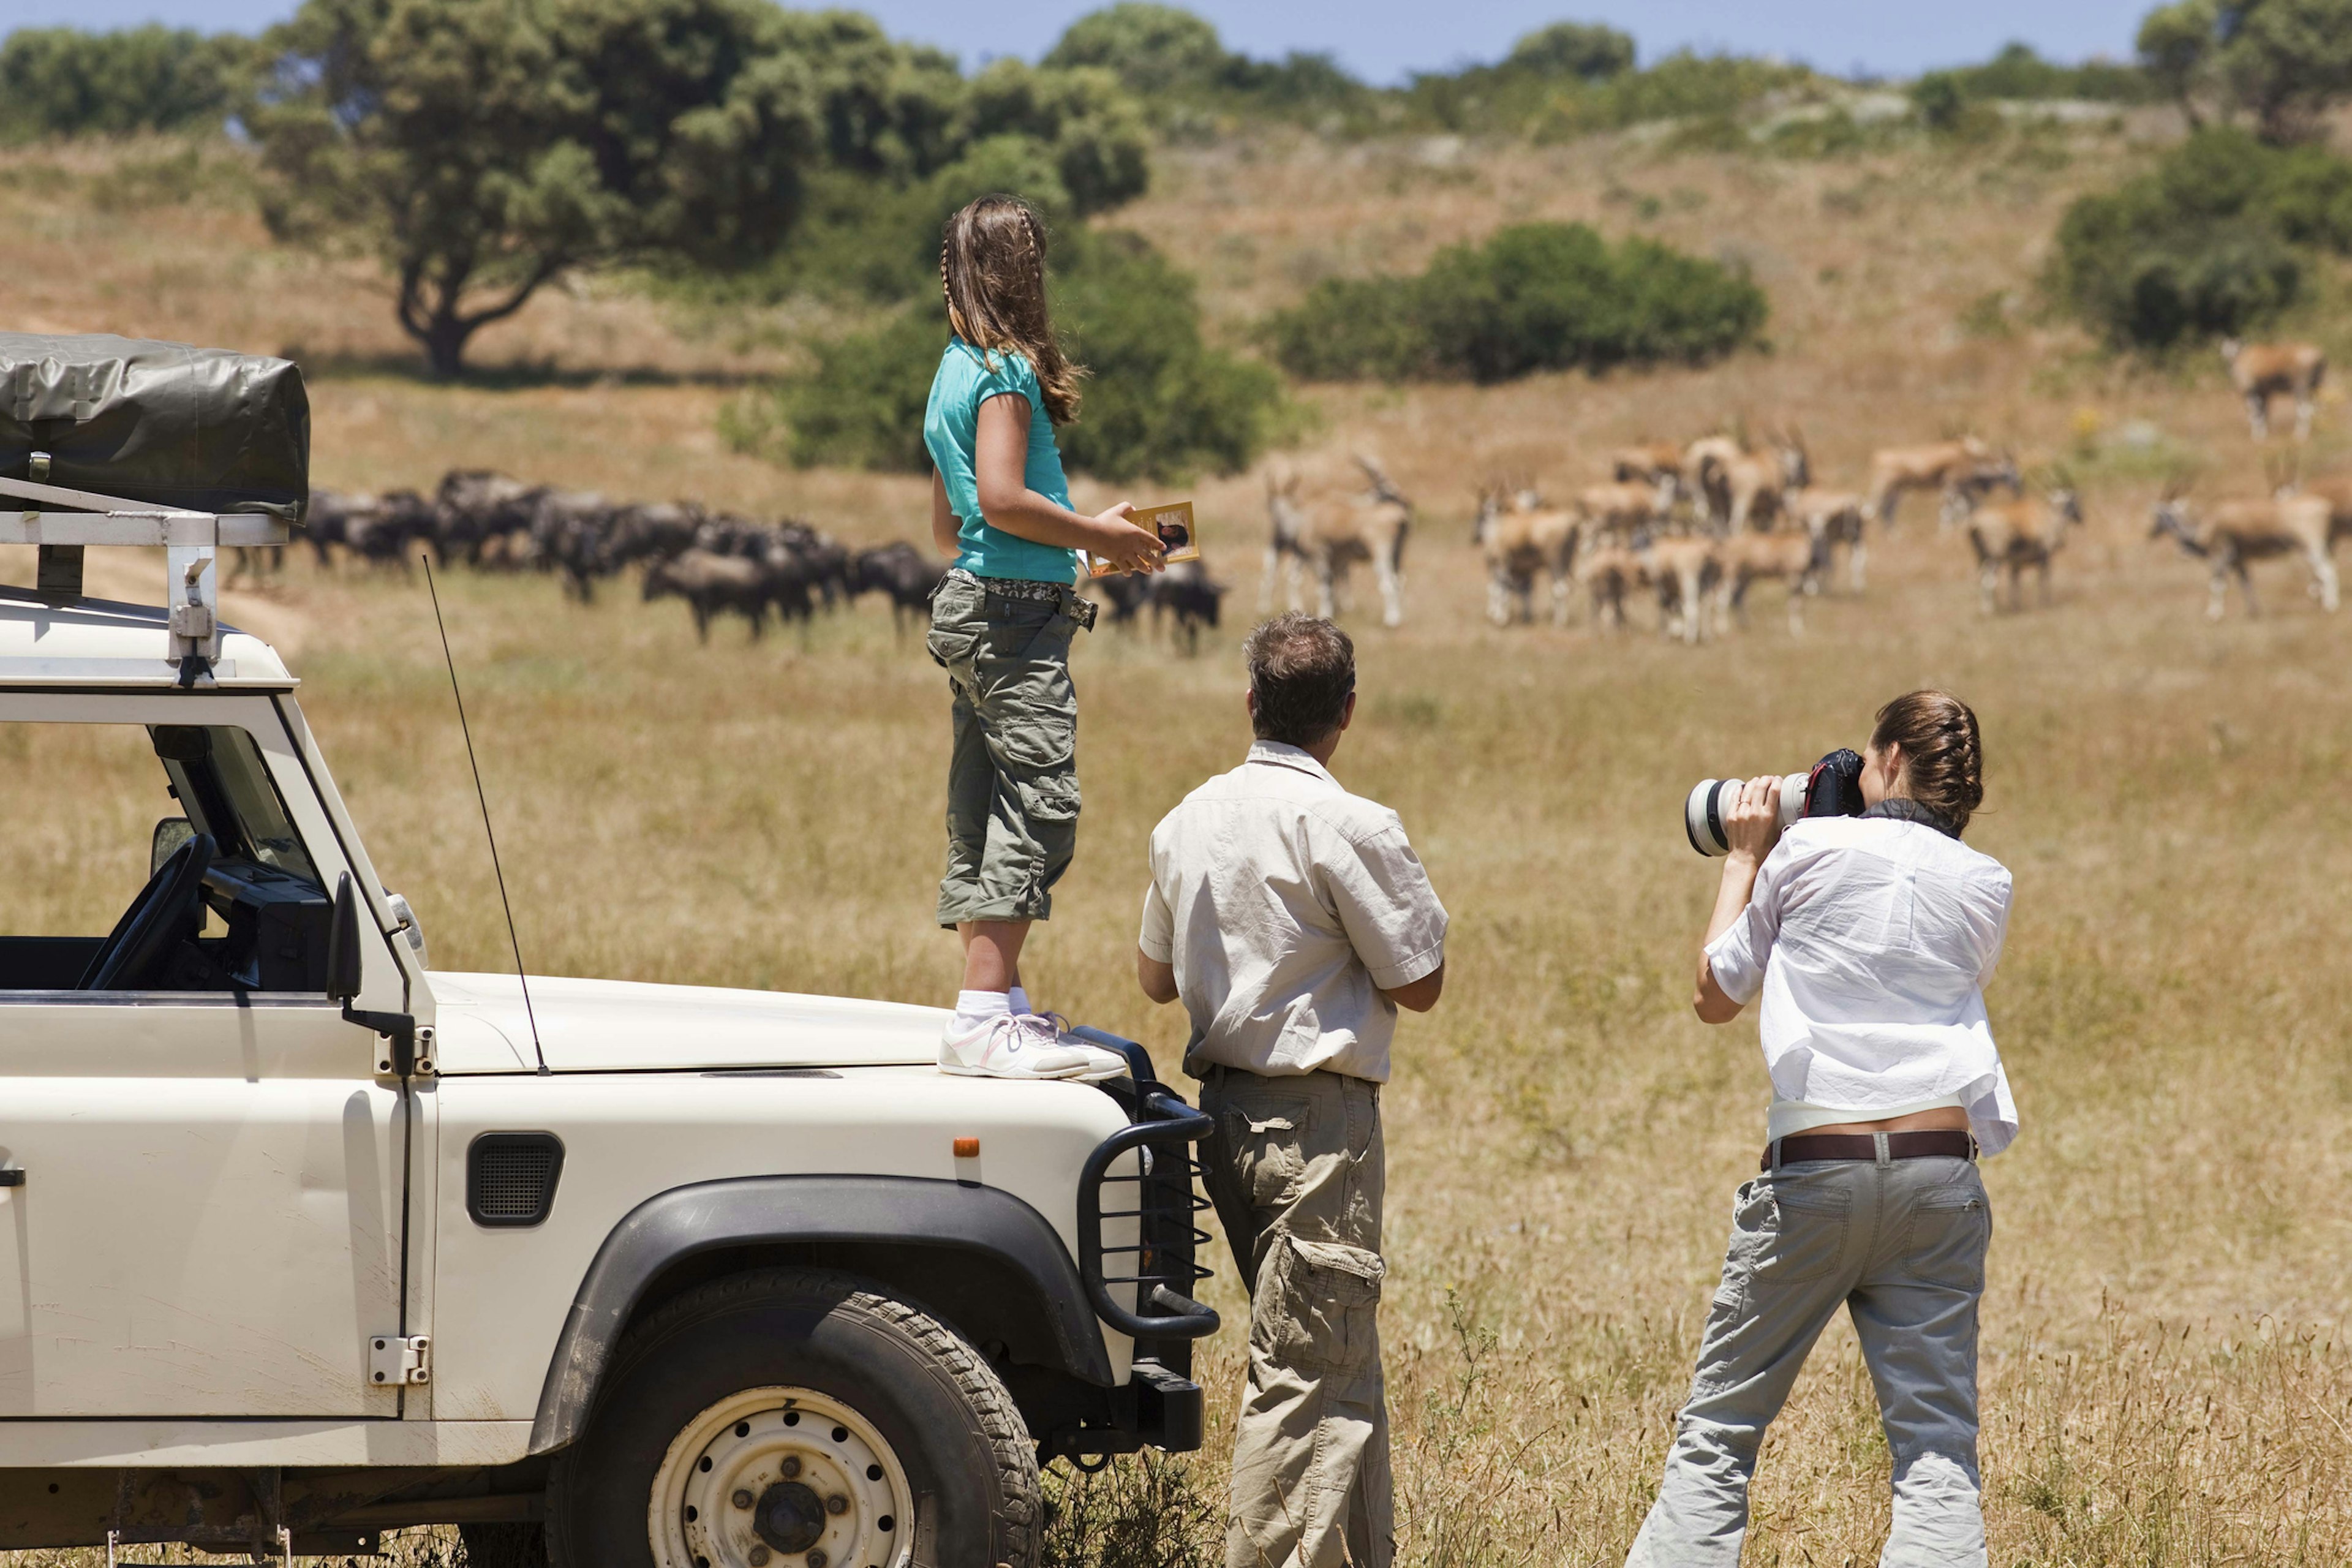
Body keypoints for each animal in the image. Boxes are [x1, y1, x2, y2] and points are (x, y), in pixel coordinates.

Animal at [1270, 453, 1411, 625]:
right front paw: (1335, 612)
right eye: (1389, 491)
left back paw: (1391, 620)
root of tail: (1399, 517)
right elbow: (1333, 587)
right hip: (1397, 554)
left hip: (1381, 552)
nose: (1408, 503)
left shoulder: (1319, 554)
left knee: (1388, 581)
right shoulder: (1336, 560)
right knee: (1398, 580)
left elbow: (1325, 586)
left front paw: (1326, 612)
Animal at [2154, 481, 2333, 620]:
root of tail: (2323, 507)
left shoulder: (2219, 557)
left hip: (2311, 548)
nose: (2152, 532)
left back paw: (2330, 606)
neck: (2205, 526)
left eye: (2162, 514)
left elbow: (2217, 585)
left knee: (2327, 571)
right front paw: (2253, 612)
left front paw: (2214, 615)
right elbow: (2246, 584)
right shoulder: (2239, 562)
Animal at [2220, 338, 2333, 442]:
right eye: (2225, 348)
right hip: (2315, 389)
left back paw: (2300, 435)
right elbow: (2265, 412)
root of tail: (2319, 356)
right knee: (2317, 408)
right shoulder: (2265, 393)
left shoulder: (2252, 393)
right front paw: (2266, 433)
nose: (2230, 357)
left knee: (2306, 410)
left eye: (2237, 347)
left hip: (2300, 390)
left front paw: (2258, 437)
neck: (2242, 357)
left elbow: (2256, 414)